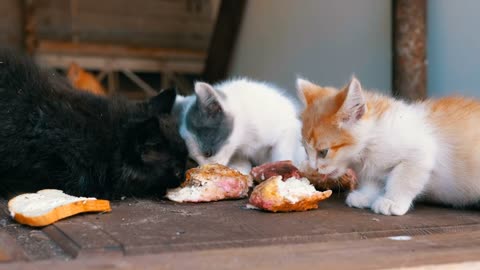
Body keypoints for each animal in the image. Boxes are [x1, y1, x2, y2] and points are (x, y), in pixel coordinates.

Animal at [296, 76, 480, 215]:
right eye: (305, 150)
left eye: (323, 152)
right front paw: (366, 195)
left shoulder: (420, 152)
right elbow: (372, 179)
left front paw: (392, 201)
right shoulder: (370, 166)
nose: (314, 167)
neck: (373, 140)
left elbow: (403, 178)